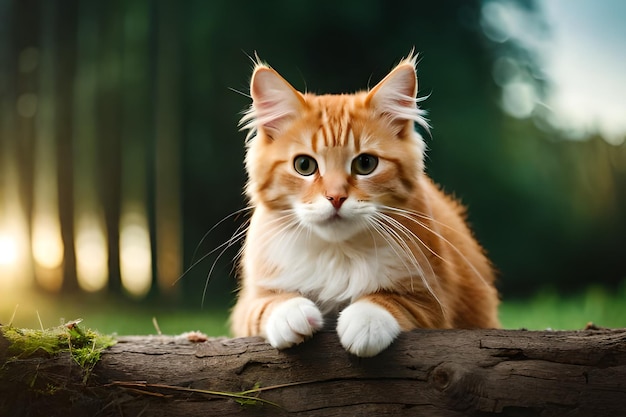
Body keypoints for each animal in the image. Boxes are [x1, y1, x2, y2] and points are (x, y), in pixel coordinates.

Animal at [229, 52, 498, 356]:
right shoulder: (248, 304)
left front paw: (366, 320)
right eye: (304, 166)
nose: (335, 197)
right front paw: (291, 314)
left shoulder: (435, 301)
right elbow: (265, 305)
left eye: (366, 164)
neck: (338, 252)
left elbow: (393, 300)